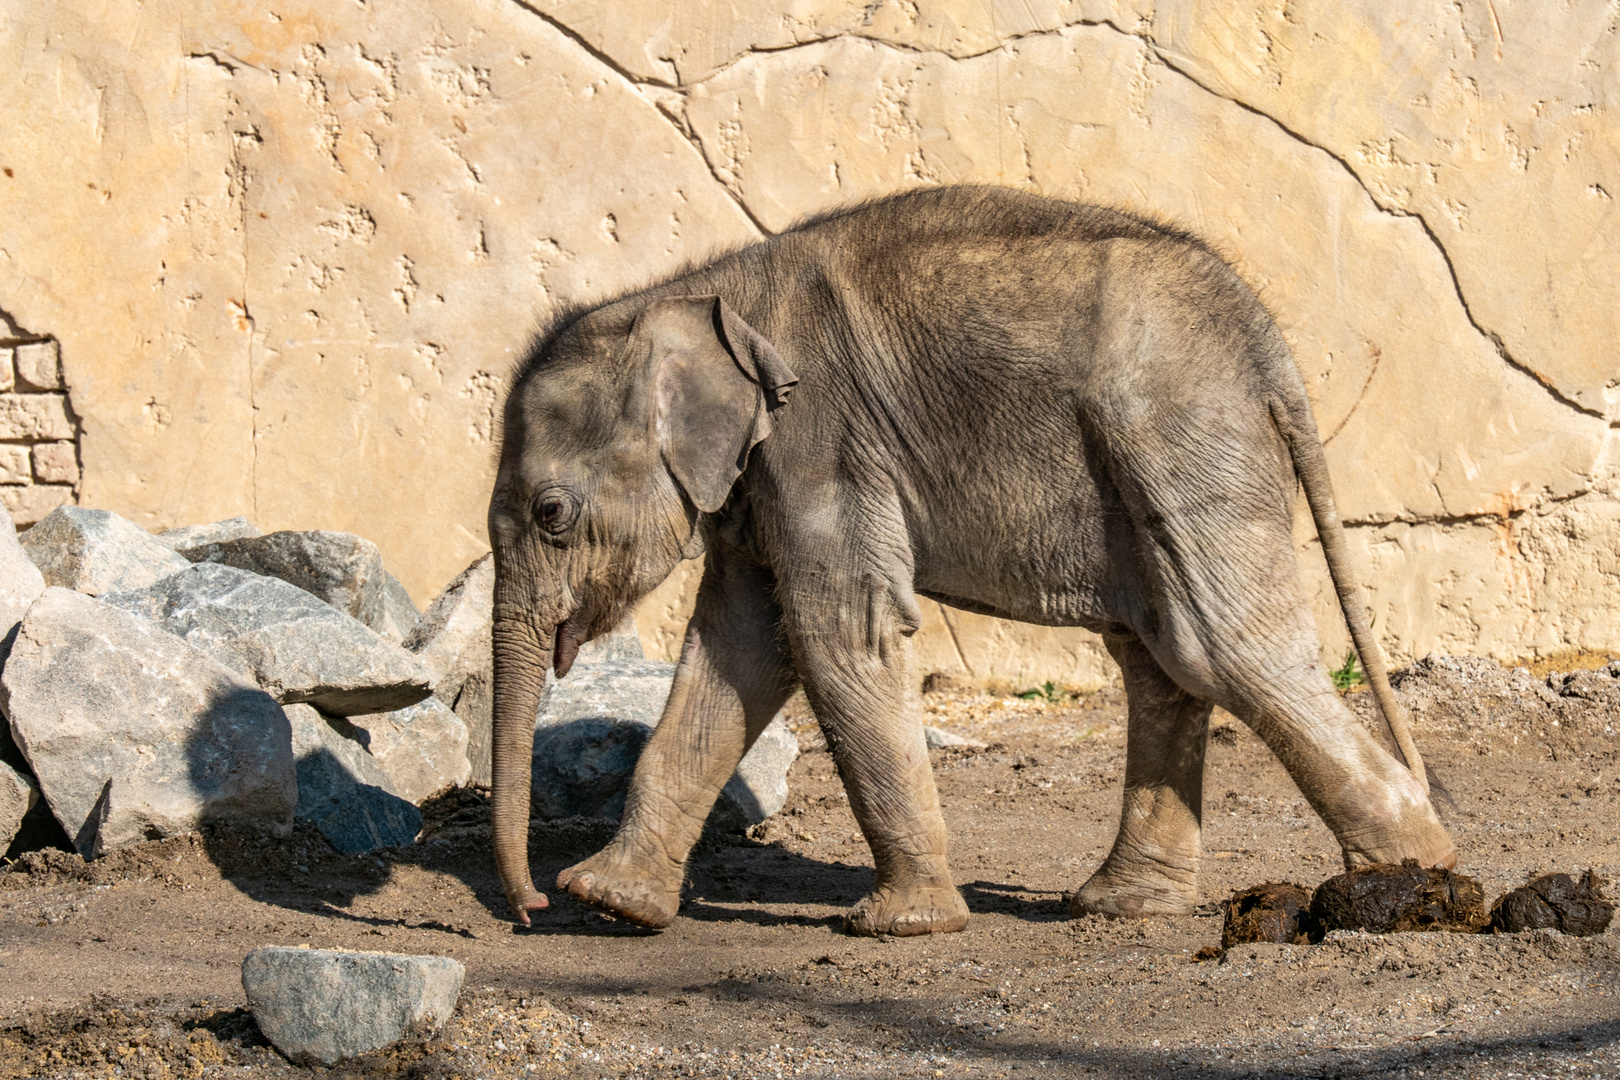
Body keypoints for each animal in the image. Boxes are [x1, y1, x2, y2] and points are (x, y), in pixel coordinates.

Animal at [482, 181, 1458, 932]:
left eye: (552, 513)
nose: (532, 907)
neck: (690, 291)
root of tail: (1274, 353)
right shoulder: (759, 483)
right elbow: (739, 649)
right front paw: (611, 904)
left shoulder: (822, 442)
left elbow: (836, 636)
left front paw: (902, 926)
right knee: (1162, 654)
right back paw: (1120, 906)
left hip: (1182, 432)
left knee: (1219, 648)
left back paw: (1409, 882)